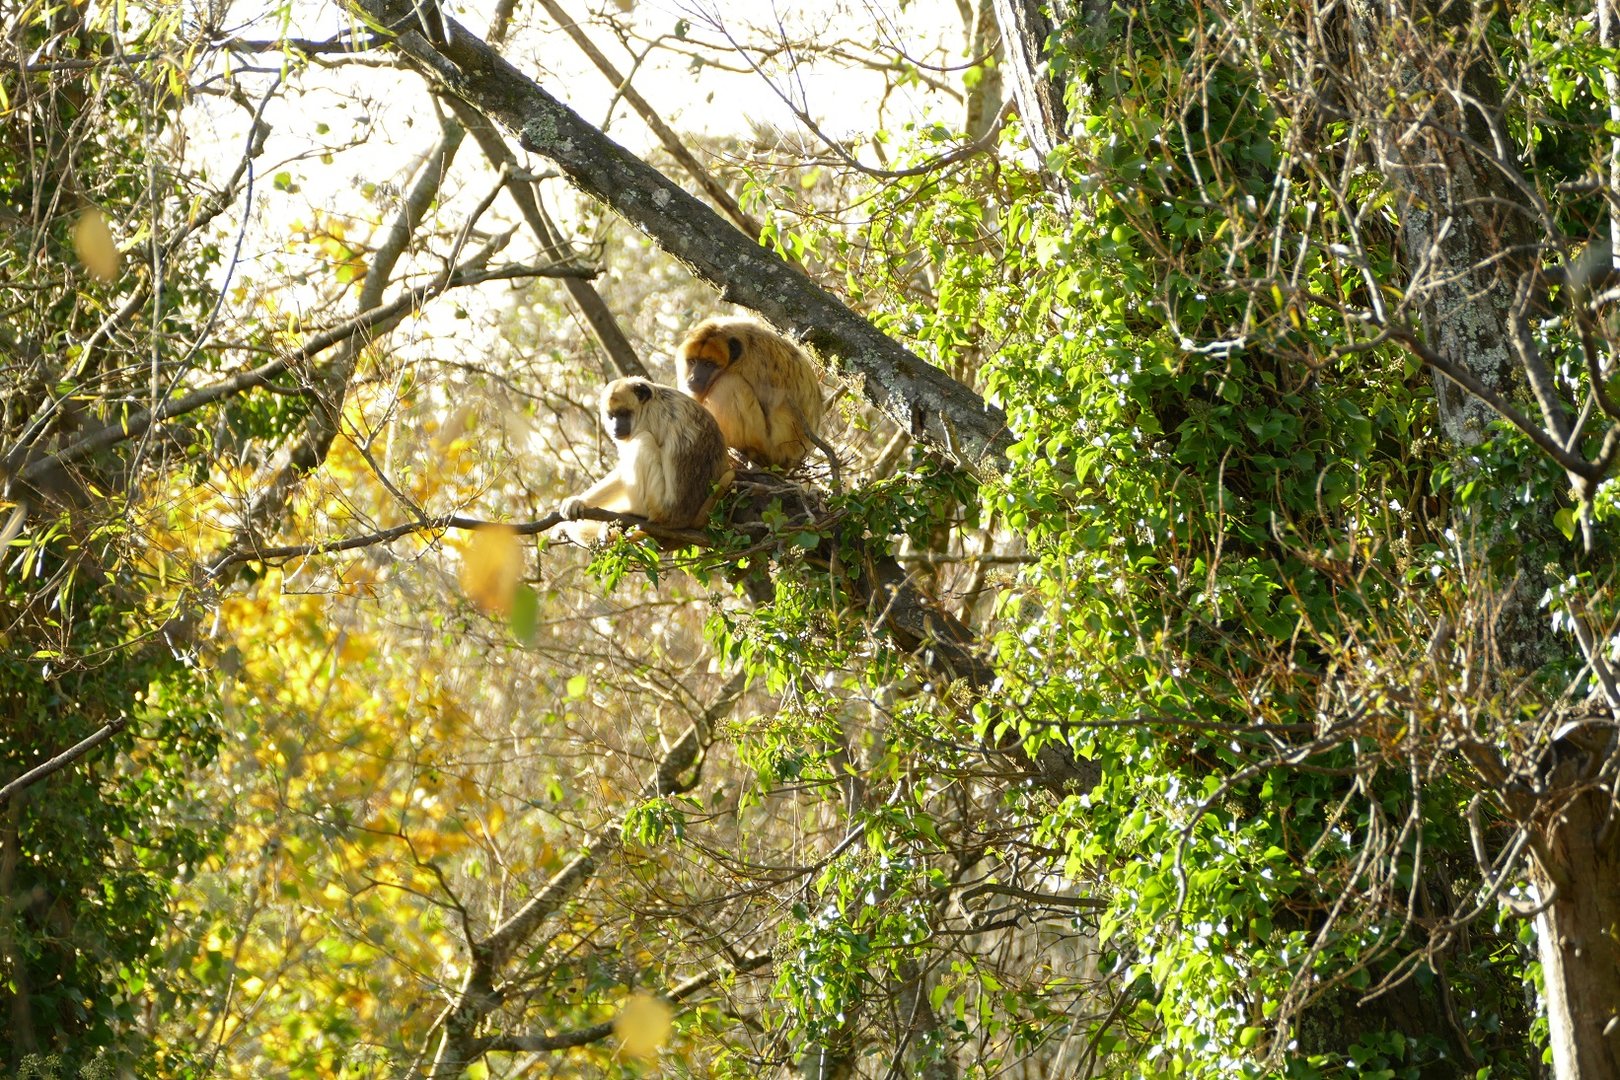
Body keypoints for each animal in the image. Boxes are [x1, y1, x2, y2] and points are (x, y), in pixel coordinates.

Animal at [558, 377, 733, 544]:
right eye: (611, 416)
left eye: (624, 413)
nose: (615, 427)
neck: (648, 403)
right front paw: (578, 501)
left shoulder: (644, 422)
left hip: (659, 506)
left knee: (643, 441)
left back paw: (634, 512)